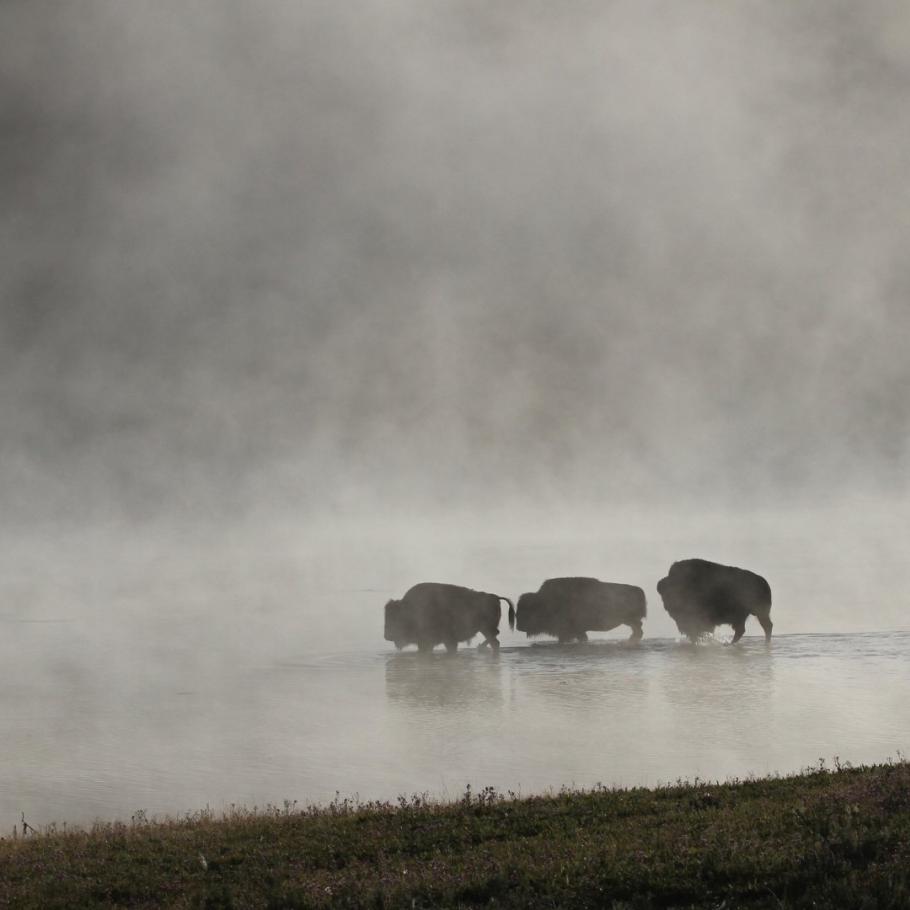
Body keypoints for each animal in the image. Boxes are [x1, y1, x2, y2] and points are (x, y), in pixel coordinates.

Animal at [382, 584, 516, 656]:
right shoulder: (428, 643)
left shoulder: (443, 640)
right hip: (485, 629)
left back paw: (480, 648)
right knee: (495, 641)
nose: (387, 636)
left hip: (486, 628)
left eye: (395, 617)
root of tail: (495, 597)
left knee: (495, 638)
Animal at [512, 580, 648, 644]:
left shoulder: (569, 631)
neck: (543, 602)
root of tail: (639, 590)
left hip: (629, 620)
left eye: (527, 610)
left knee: (638, 629)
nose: (518, 627)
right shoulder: (576, 631)